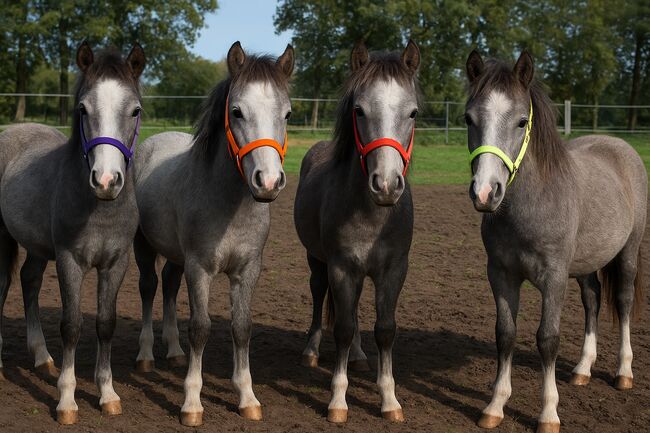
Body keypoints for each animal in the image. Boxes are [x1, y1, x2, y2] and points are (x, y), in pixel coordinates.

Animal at [0, 41, 146, 424]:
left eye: (135, 110)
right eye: (83, 108)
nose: (106, 180)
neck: (99, 209)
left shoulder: (116, 263)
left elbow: (105, 324)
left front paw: (108, 394)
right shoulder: (69, 260)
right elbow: (72, 325)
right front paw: (66, 400)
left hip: (37, 247)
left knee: (29, 280)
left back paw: (41, 358)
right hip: (3, 238)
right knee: (4, 284)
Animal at [132, 41, 294, 426]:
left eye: (287, 114)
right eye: (236, 111)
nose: (268, 182)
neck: (229, 204)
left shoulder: (248, 270)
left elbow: (241, 326)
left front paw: (247, 398)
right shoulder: (200, 269)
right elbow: (201, 327)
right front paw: (192, 403)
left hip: (176, 256)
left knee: (169, 285)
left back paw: (174, 350)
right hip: (144, 247)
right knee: (149, 287)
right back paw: (146, 355)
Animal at [294, 40, 420, 423]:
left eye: (413, 113)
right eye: (360, 110)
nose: (387, 185)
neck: (373, 214)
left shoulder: (393, 269)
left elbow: (385, 329)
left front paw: (389, 399)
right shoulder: (341, 267)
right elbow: (343, 328)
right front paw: (337, 401)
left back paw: (360, 356)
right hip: (317, 260)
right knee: (319, 296)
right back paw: (311, 351)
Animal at [464, 50, 646, 433]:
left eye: (521, 122)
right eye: (469, 119)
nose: (486, 193)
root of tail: (619, 146)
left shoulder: (554, 278)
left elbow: (547, 339)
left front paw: (548, 414)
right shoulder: (500, 274)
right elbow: (505, 333)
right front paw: (495, 406)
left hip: (628, 253)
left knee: (622, 302)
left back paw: (623, 373)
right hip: (587, 263)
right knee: (593, 300)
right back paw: (582, 370)